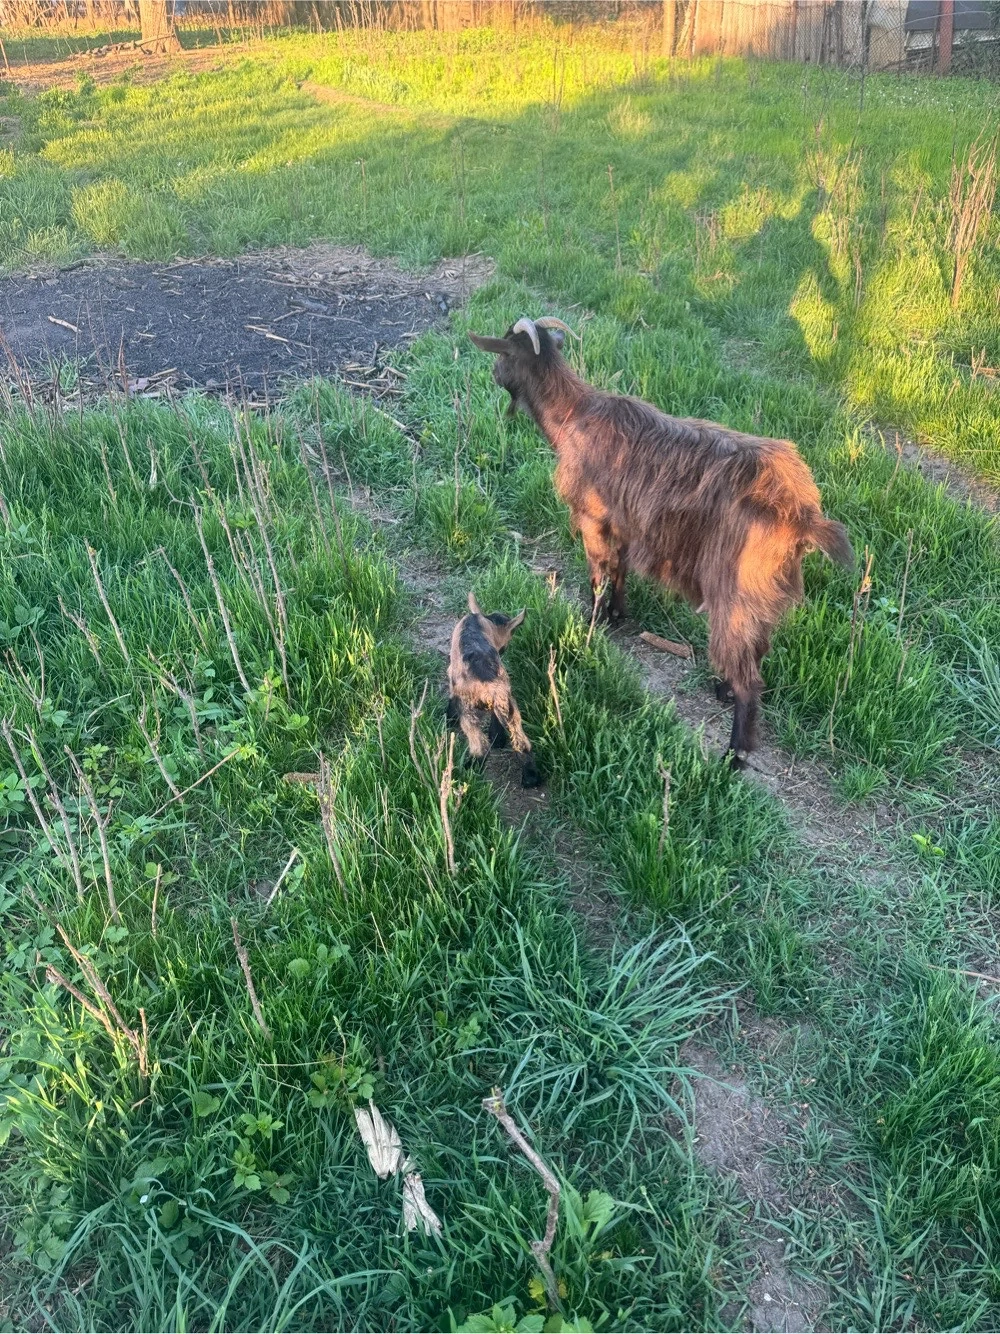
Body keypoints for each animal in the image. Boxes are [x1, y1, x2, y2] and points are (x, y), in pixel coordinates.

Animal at [446, 592, 541, 788]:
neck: (484, 621)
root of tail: (489, 685)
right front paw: (497, 738)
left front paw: (448, 717)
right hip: (509, 706)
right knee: (521, 742)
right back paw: (531, 777)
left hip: (468, 712)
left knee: (479, 745)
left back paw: (471, 768)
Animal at [469, 316, 854, 768]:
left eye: (502, 352)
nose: (492, 374)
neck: (572, 415)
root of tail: (802, 513)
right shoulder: (623, 523)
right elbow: (619, 570)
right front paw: (617, 615)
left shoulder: (593, 518)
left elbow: (598, 574)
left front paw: (591, 625)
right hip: (764, 591)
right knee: (757, 647)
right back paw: (724, 690)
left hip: (734, 586)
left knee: (748, 673)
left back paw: (735, 751)